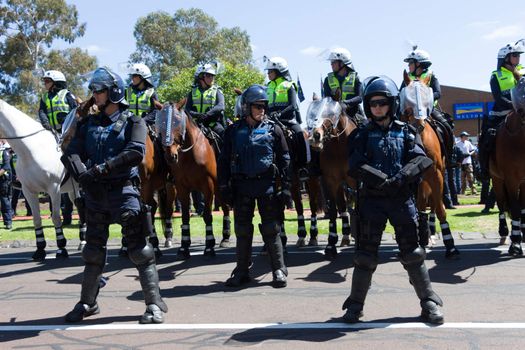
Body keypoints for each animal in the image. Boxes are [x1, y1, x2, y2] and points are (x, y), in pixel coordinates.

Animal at [0, 98, 81, 260]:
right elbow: (36, 219)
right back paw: (83, 241)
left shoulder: (54, 189)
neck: (31, 149)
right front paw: (40, 249)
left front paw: (61, 248)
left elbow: (56, 217)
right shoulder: (29, 191)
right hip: (73, 190)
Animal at [156, 99, 229, 260]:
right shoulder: (181, 187)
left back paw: (226, 238)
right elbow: (184, 216)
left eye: (177, 121)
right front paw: (184, 247)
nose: (170, 156)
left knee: (226, 207)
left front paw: (209, 246)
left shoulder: (208, 186)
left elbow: (207, 215)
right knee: (169, 209)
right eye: (161, 122)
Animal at [308, 97, 356, 258]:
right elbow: (334, 211)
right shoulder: (330, 181)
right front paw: (330, 245)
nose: (316, 136)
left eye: (331, 113)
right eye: (313, 112)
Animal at [400, 71, 456, 258]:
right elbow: (416, 209)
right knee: (422, 205)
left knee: (431, 204)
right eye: (407, 101)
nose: (418, 125)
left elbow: (439, 209)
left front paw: (450, 245)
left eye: (427, 99)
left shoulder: (436, 174)